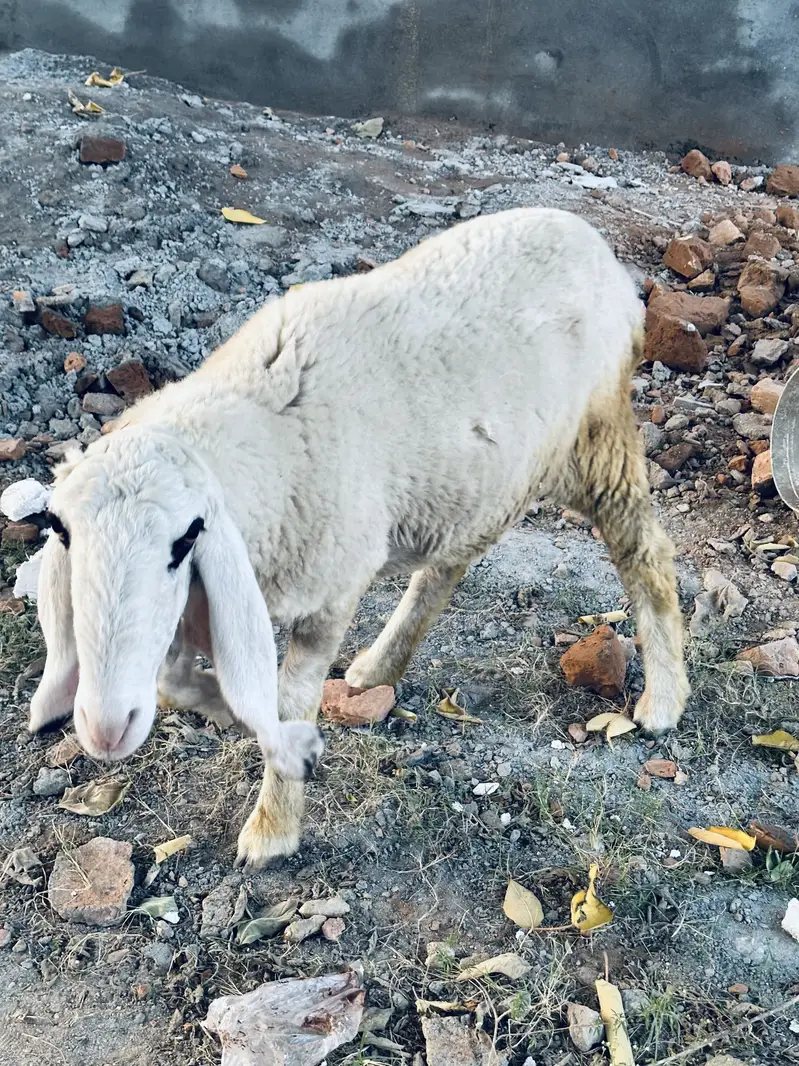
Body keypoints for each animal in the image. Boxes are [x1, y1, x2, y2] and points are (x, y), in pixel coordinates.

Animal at [29, 206, 689, 869]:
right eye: (61, 530)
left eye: (186, 540)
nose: (105, 729)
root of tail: (587, 237)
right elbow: (172, 684)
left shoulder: (328, 590)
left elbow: (288, 698)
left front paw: (273, 824)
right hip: (475, 479)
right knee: (447, 566)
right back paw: (376, 667)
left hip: (596, 439)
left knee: (647, 555)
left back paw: (663, 701)